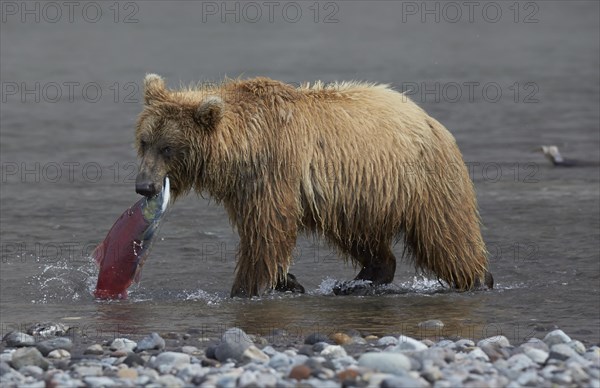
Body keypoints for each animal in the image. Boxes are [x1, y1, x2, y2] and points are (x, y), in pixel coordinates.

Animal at [135, 73, 492, 298]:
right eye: (144, 141)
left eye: (167, 148)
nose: (144, 186)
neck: (240, 151)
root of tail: (429, 120)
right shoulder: (244, 189)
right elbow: (265, 234)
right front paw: (287, 280)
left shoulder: (274, 170)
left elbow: (267, 233)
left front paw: (245, 288)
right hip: (358, 195)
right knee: (360, 237)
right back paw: (360, 279)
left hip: (422, 180)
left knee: (445, 235)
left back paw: (477, 278)